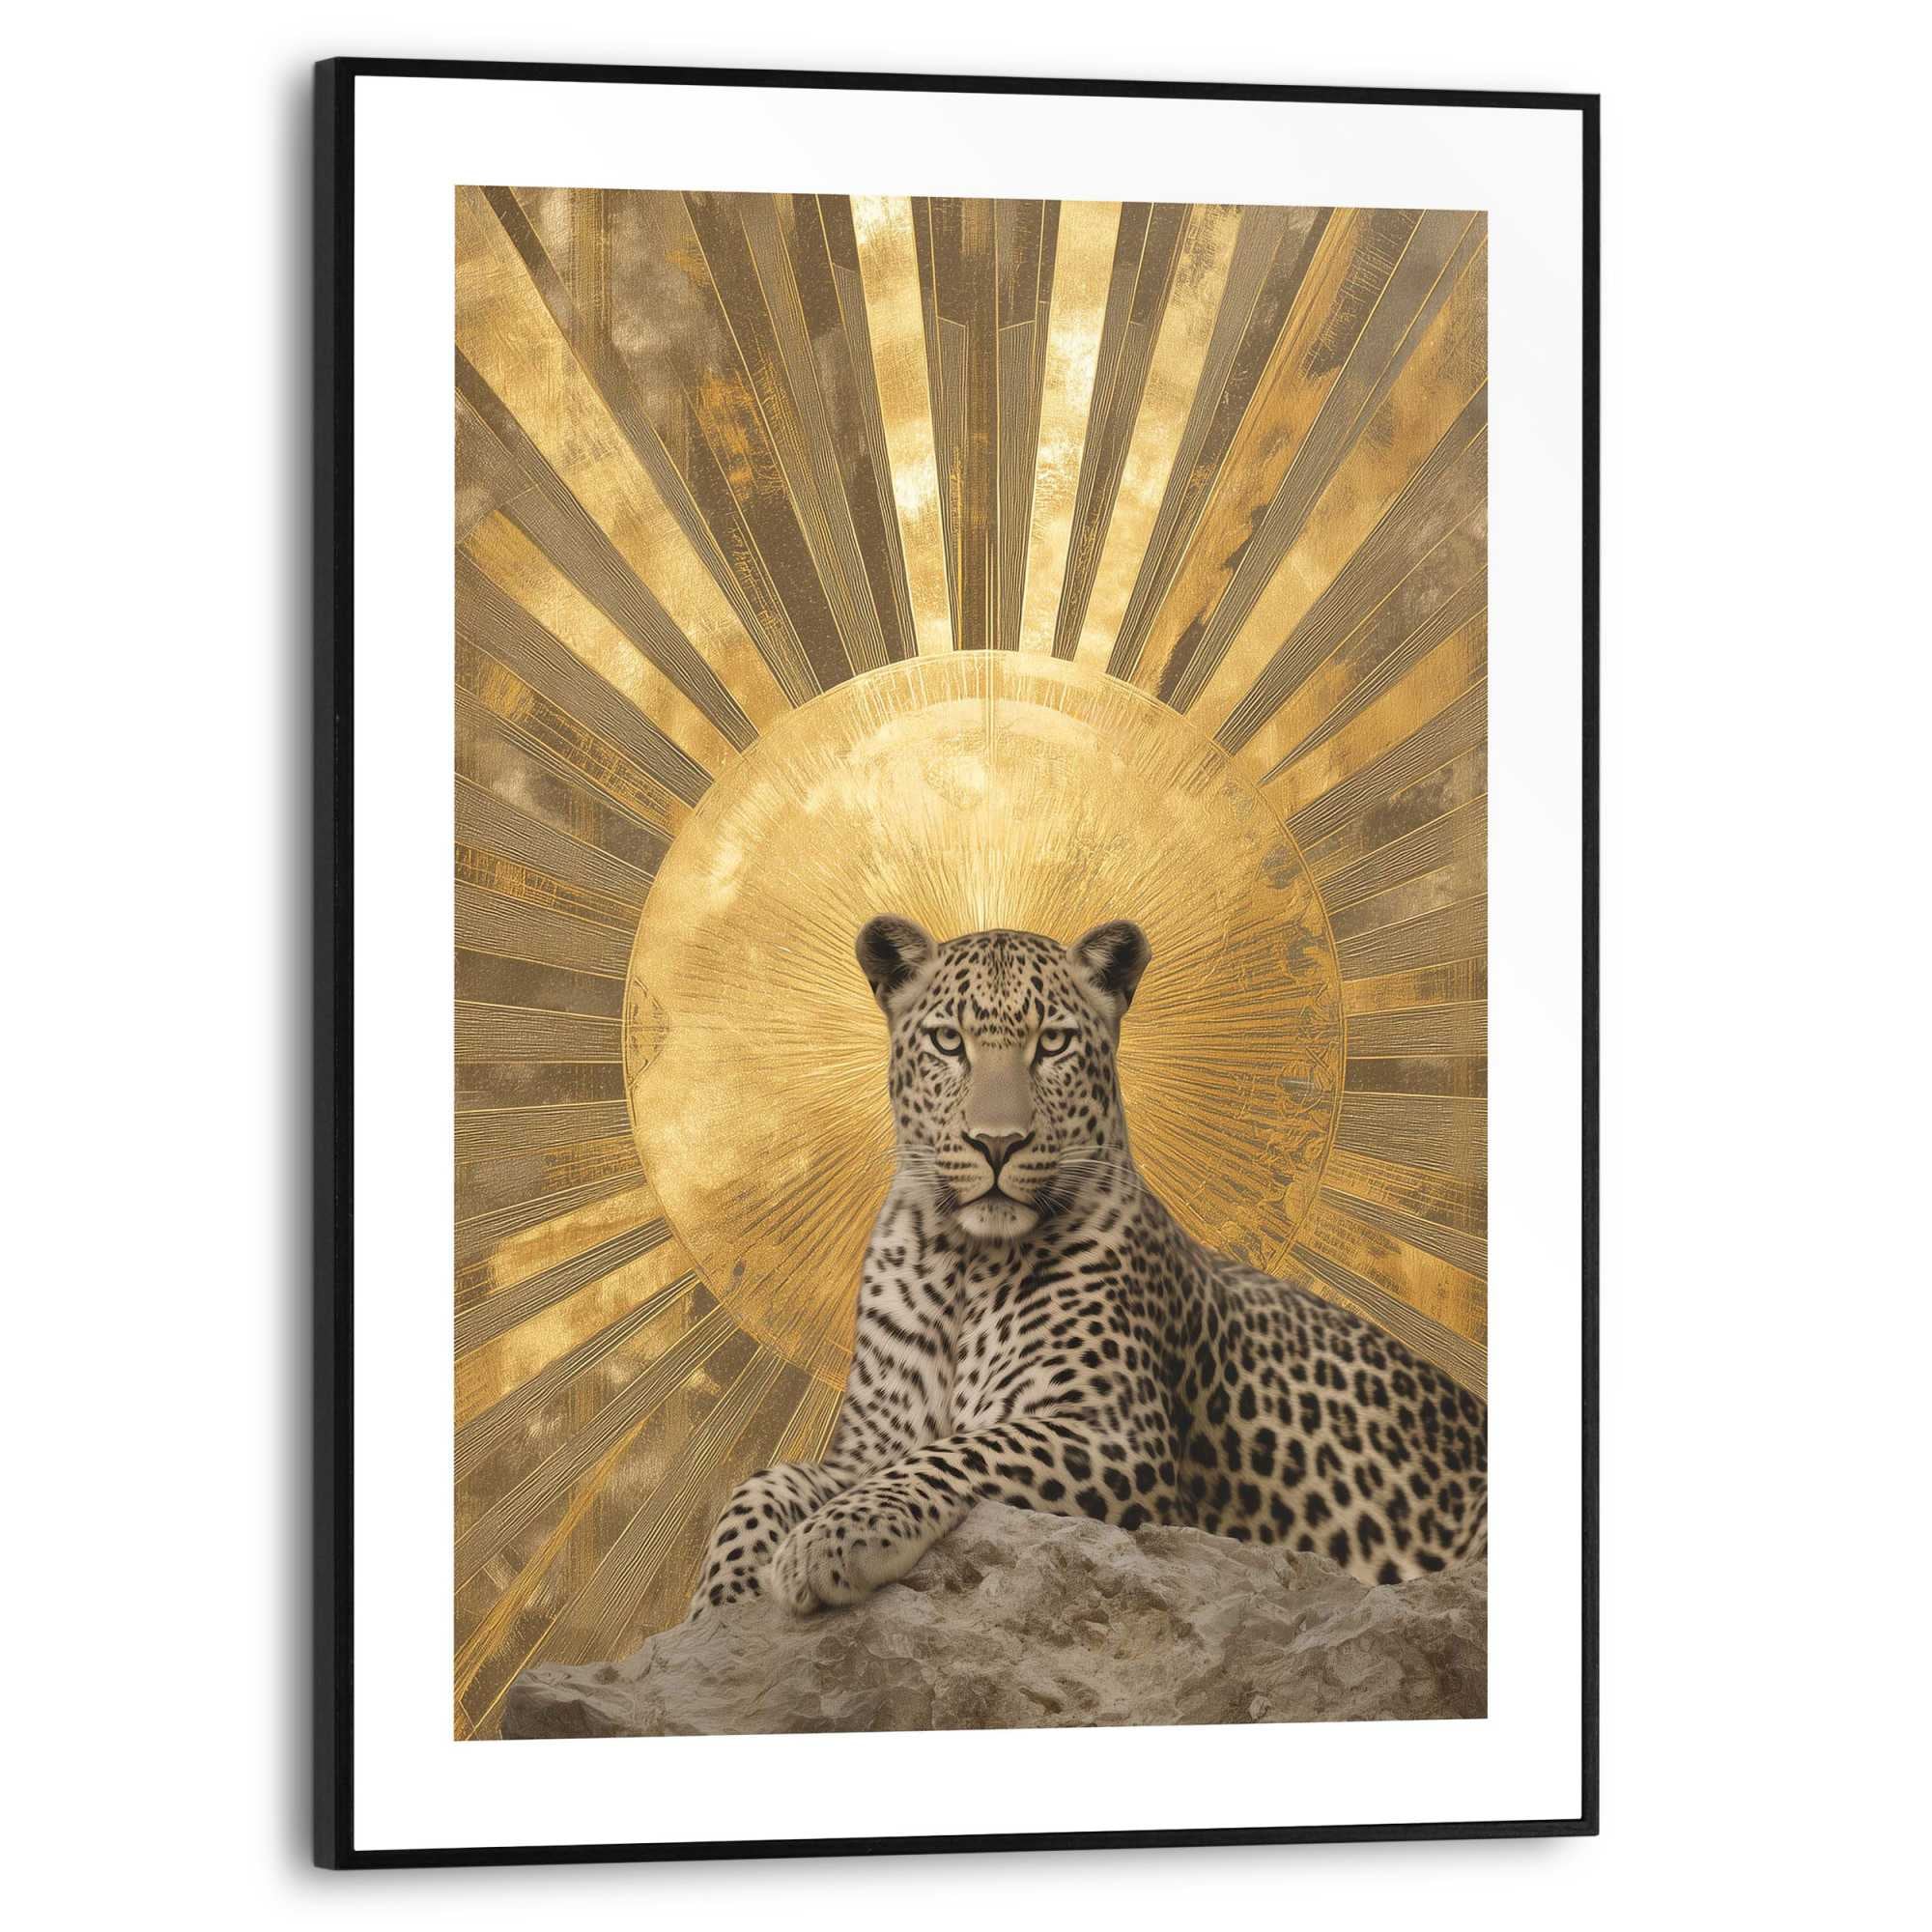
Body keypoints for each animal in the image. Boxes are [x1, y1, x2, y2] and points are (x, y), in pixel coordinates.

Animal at [689, 915, 1486, 1620]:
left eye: (1054, 1043)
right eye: (949, 1042)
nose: (997, 1143)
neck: (963, 1263)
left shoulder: (1115, 1437)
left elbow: (959, 1451)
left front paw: (828, 1540)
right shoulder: (869, 1443)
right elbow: (761, 1483)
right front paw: (720, 1601)